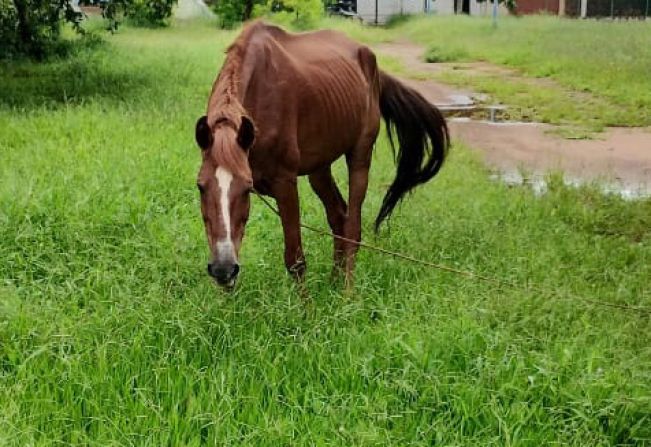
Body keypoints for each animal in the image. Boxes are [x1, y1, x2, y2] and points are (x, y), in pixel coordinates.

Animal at [195, 20, 448, 288]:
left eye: (246, 187)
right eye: (201, 187)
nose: (223, 269)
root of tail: (370, 61)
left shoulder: (285, 183)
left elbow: (295, 259)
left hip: (360, 156)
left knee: (352, 228)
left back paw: (347, 290)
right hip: (320, 169)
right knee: (339, 217)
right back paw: (333, 282)